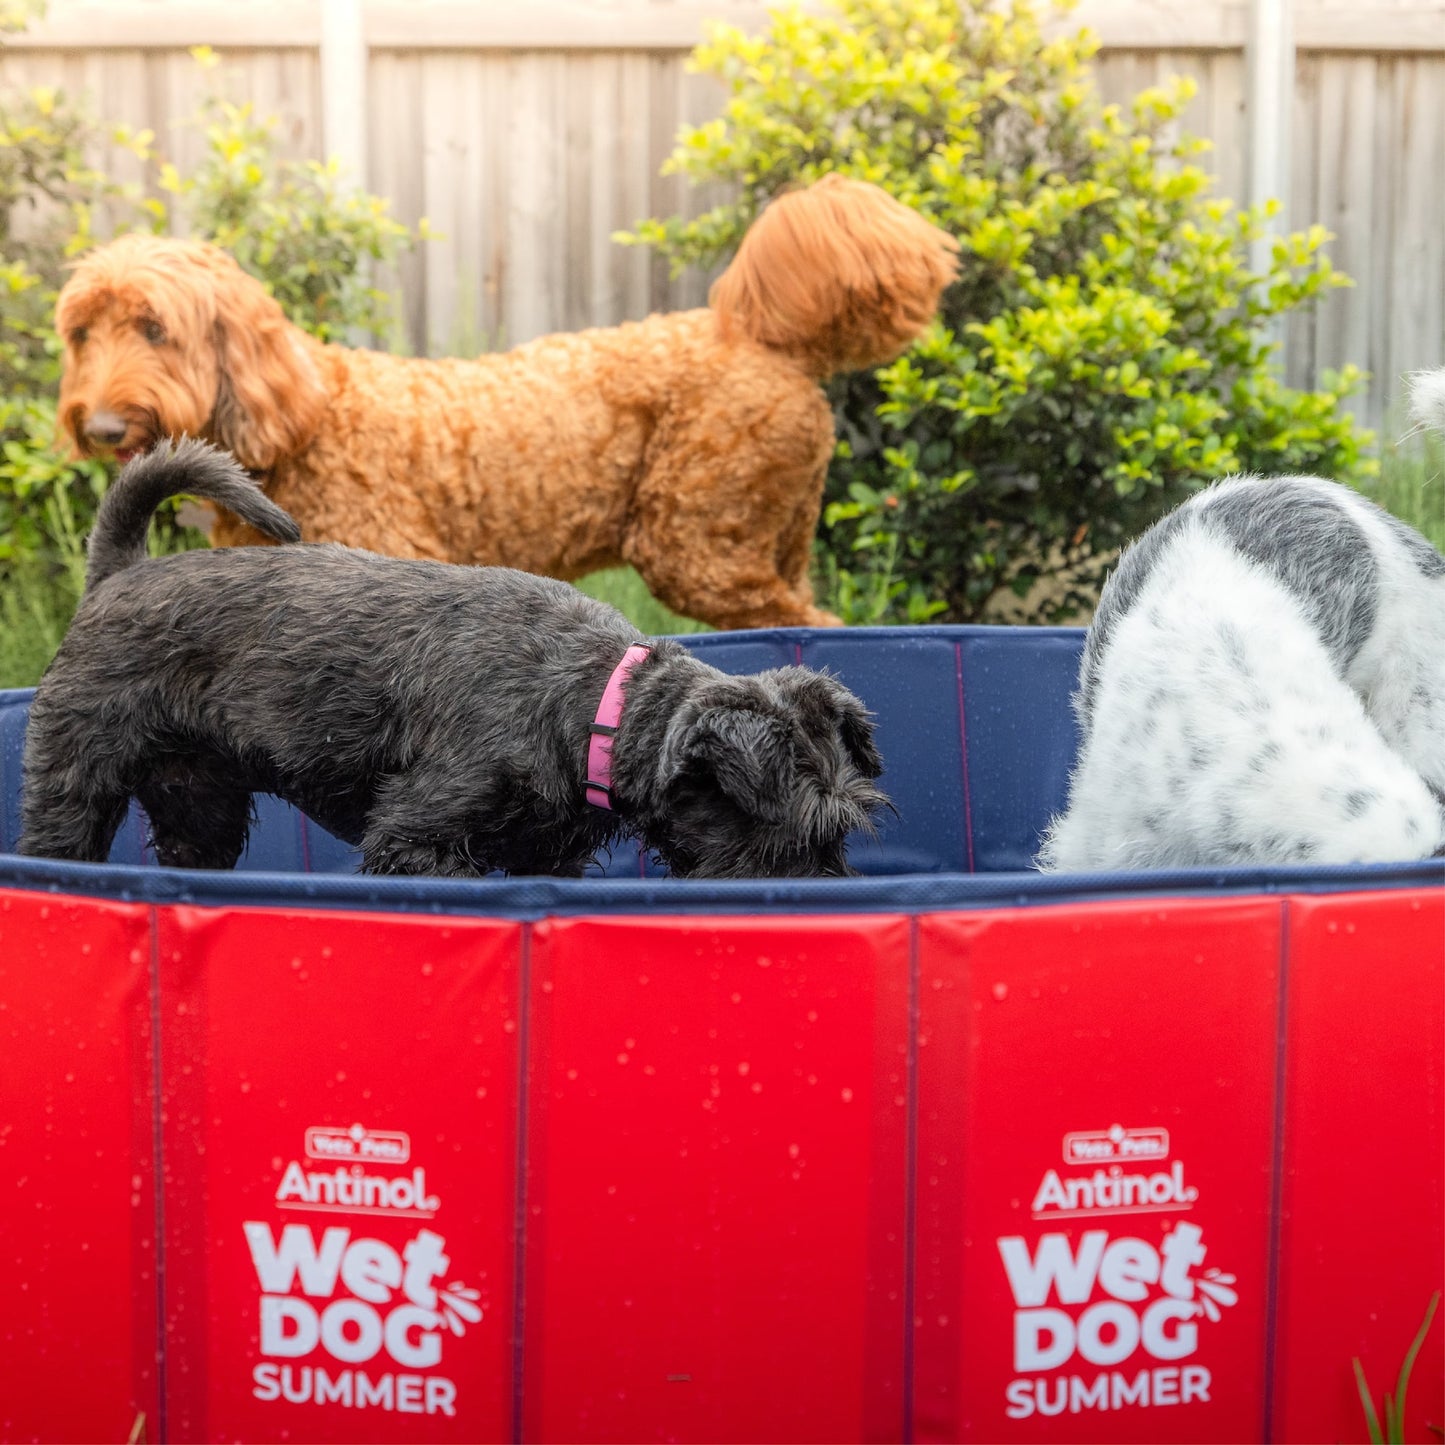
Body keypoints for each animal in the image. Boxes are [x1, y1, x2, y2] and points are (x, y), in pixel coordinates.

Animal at [16, 439, 884, 872]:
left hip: (201, 807)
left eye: (845, 830)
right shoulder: (415, 838)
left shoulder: (547, 858)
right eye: (801, 832)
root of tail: (118, 574)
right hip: (74, 784)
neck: (598, 706)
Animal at [59, 177, 959, 630]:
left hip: (700, 545)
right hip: (765, 540)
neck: (306, 426)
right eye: (80, 333)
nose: (99, 426)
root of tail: (760, 335)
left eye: (155, 328)